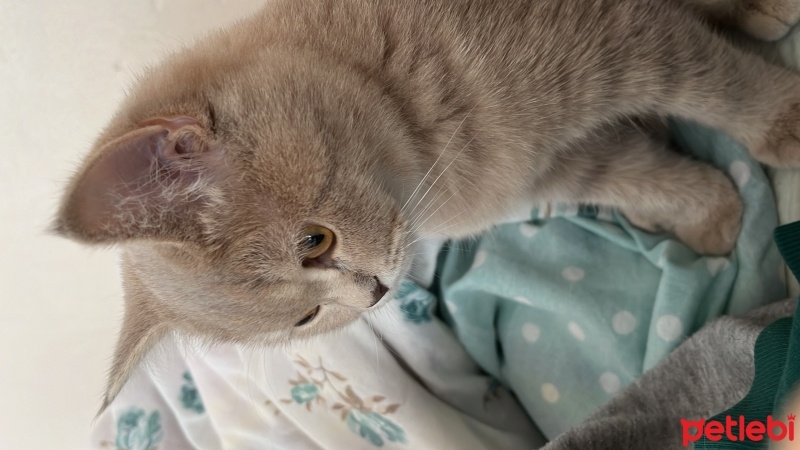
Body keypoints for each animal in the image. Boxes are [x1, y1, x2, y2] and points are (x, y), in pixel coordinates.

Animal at [53, 0, 800, 412]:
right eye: (306, 318)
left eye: (314, 242)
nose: (378, 293)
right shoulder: (549, 169)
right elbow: (626, 172)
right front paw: (703, 208)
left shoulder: (618, 35)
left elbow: (710, 79)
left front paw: (782, 120)